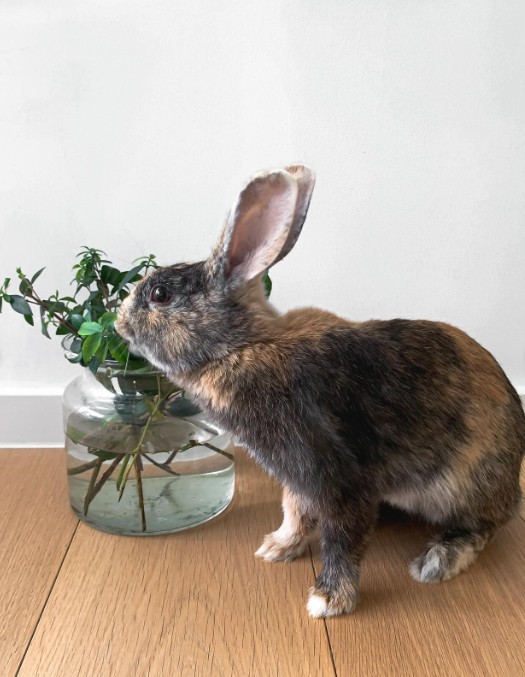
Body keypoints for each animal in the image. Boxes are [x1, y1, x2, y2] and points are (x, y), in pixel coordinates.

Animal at [116, 165, 525, 618]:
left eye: (160, 294)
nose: (118, 321)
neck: (239, 347)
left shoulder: (334, 473)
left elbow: (341, 540)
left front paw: (328, 600)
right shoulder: (297, 479)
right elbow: (294, 512)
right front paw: (276, 548)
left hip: (464, 485)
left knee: (484, 525)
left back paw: (438, 560)